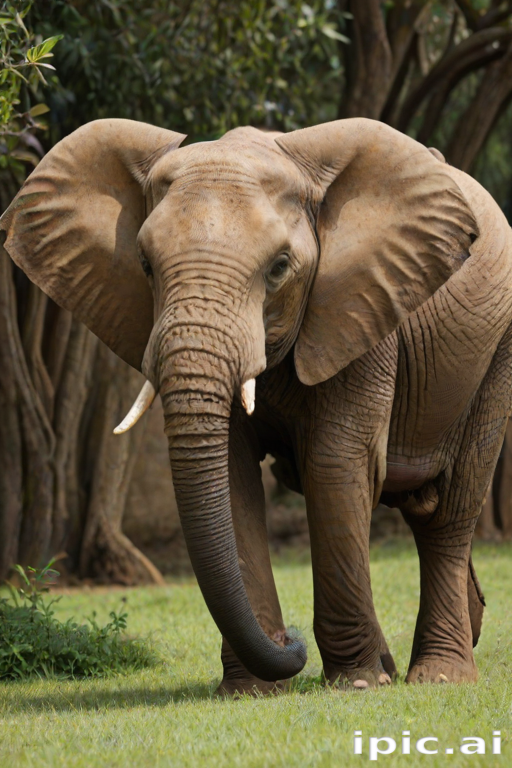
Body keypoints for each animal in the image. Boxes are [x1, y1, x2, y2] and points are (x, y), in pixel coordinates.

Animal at [1, 116, 511, 695]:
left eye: (280, 267)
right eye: (145, 267)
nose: (292, 642)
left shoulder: (361, 312)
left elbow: (335, 464)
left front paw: (358, 683)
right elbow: (232, 474)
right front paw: (251, 689)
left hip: (495, 352)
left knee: (448, 513)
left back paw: (440, 677)